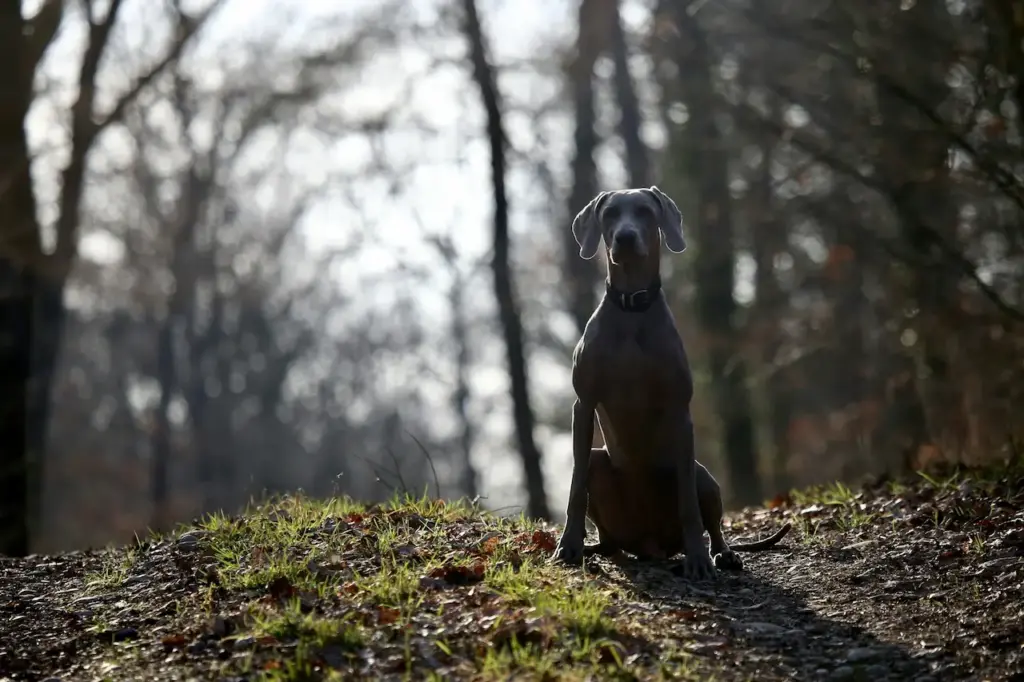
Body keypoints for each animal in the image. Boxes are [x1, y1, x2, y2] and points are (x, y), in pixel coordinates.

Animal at [552, 186, 790, 577]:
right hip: (601, 464)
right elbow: (575, 487)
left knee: (710, 520)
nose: (625, 237)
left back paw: (720, 554)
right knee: (605, 528)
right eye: (610, 213)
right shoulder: (583, 405)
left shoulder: (680, 408)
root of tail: (649, 545)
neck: (632, 308)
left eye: (646, 212)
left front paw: (698, 559)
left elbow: (689, 505)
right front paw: (568, 545)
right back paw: (594, 548)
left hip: (700, 473)